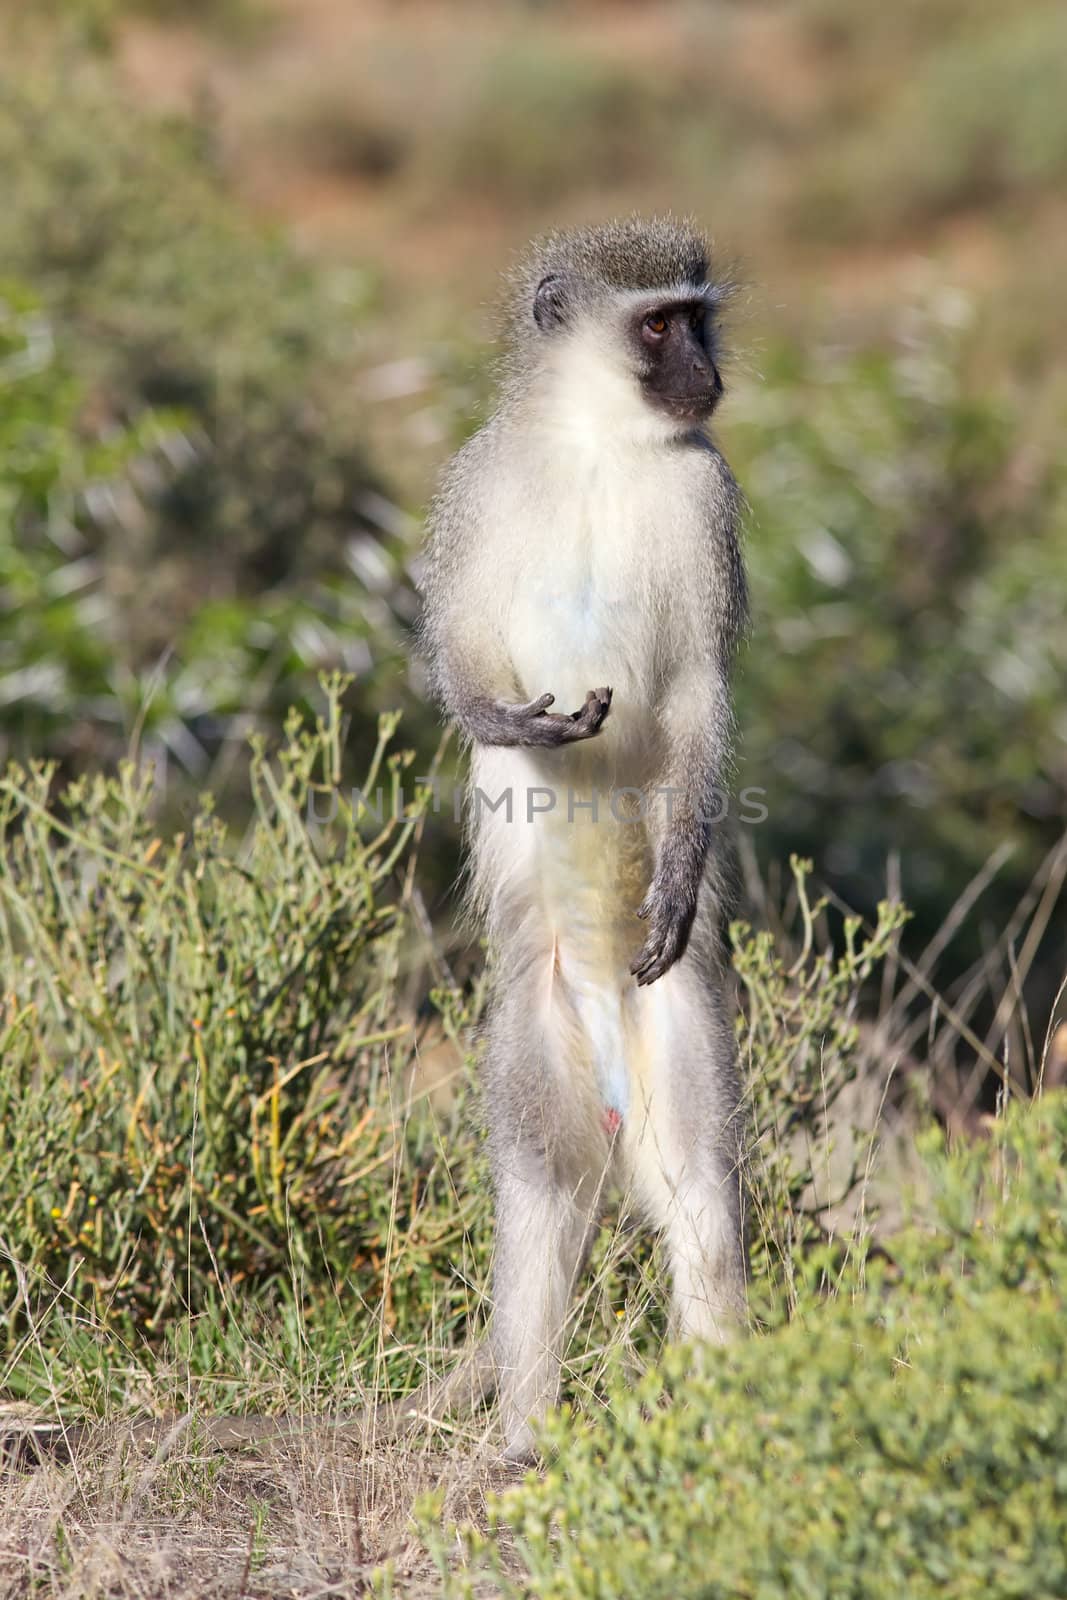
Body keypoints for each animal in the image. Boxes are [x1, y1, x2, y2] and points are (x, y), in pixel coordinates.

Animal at [419, 212, 751, 1465]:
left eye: (697, 318)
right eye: (657, 326)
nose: (707, 373)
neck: (601, 444)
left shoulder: (706, 498)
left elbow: (700, 691)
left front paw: (679, 878)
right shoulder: (474, 483)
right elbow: (452, 640)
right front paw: (497, 718)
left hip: (680, 1030)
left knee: (697, 1190)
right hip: (533, 1028)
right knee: (543, 1194)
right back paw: (523, 1436)